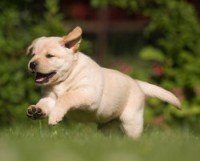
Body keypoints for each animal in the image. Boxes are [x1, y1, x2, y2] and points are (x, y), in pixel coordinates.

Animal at [26, 26, 181, 138]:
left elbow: (66, 97)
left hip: (131, 120)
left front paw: (55, 116)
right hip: (108, 126)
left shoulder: (88, 93)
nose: (32, 64)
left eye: (49, 56)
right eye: (33, 55)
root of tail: (136, 82)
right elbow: (45, 103)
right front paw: (36, 110)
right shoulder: (50, 98)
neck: (64, 80)